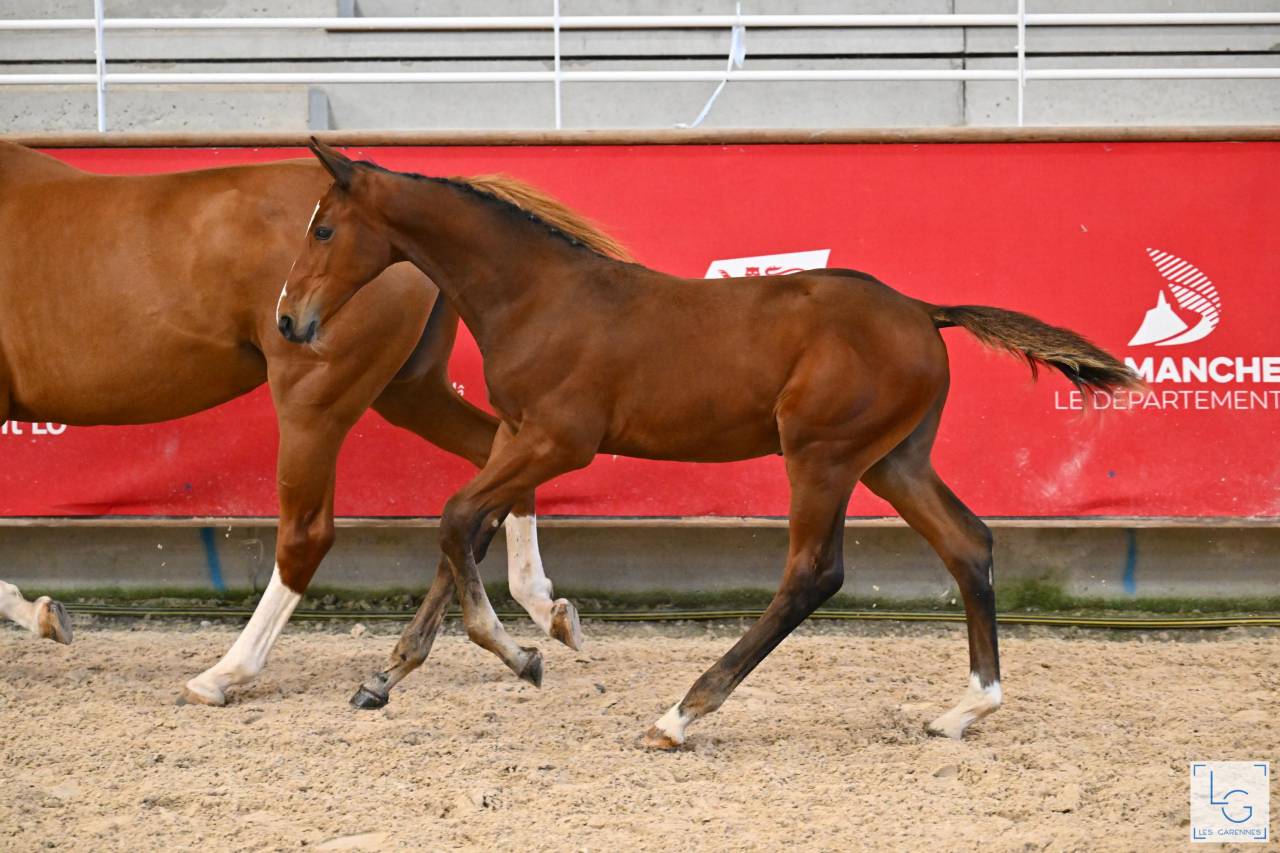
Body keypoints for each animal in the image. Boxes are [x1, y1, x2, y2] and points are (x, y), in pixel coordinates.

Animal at [0, 142, 625, 704]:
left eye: (322, 233)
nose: (288, 314)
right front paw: (44, 614)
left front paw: (41, 614)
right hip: (409, 391)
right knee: (489, 462)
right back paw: (537, 613)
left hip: (315, 398)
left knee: (307, 534)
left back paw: (225, 673)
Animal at [277, 140, 1143, 745]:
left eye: (324, 228)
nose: (288, 320)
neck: (539, 295)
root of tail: (924, 311)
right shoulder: (517, 436)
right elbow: (467, 529)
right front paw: (391, 675)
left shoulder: (559, 440)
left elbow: (457, 517)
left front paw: (518, 650)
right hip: (893, 459)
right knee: (968, 543)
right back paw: (966, 708)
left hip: (822, 455)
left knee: (814, 573)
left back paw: (682, 713)